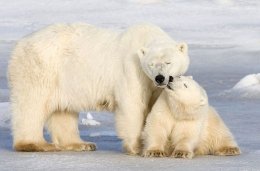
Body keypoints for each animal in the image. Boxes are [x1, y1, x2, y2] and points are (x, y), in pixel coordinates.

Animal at [8, 22, 189, 154]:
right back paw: (35, 144)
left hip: (64, 80)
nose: (160, 77)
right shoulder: (132, 70)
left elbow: (155, 108)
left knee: (63, 111)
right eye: (151, 64)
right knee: (32, 104)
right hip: (40, 67)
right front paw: (137, 147)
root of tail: (20, 43)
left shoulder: (153, 85)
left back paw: (81, 144)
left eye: (168, 62)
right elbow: (133, 104)